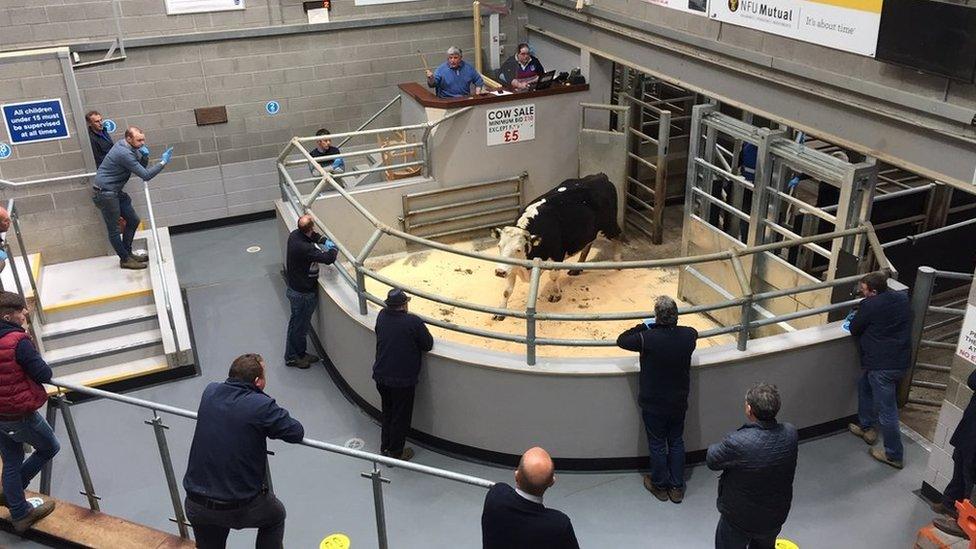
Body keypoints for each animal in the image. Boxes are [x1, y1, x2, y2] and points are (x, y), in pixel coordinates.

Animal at [492, 171, 620, 316]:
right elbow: (507, 291)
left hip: (608, 226)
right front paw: (500, 311)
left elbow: (553, 277)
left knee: (618, 237)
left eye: (518, 249)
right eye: (499, 246)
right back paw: (577, 269)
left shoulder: (557, 255)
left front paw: (555, 295)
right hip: (589, 232)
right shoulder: (511, 267)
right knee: (587, 245)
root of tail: (600, 176)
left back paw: (617, 262)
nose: (499, 272)